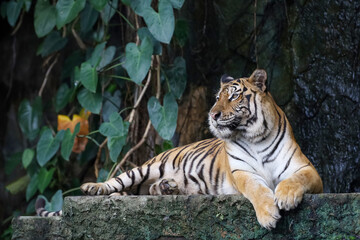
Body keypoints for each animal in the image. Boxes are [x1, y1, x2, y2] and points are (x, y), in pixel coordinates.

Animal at [40, 69, 324, 229]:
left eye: (233, 96)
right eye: (216, 98)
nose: (212, 115)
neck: (256, 138)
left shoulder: (308, 169)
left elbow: (296, 179)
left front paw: (286, 196)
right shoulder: (242, 173)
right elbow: (256, 189)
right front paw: (268, 215)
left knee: (145, 190)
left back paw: (167, 187)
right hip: (145, 168)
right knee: (116, 182)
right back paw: (93, 188)